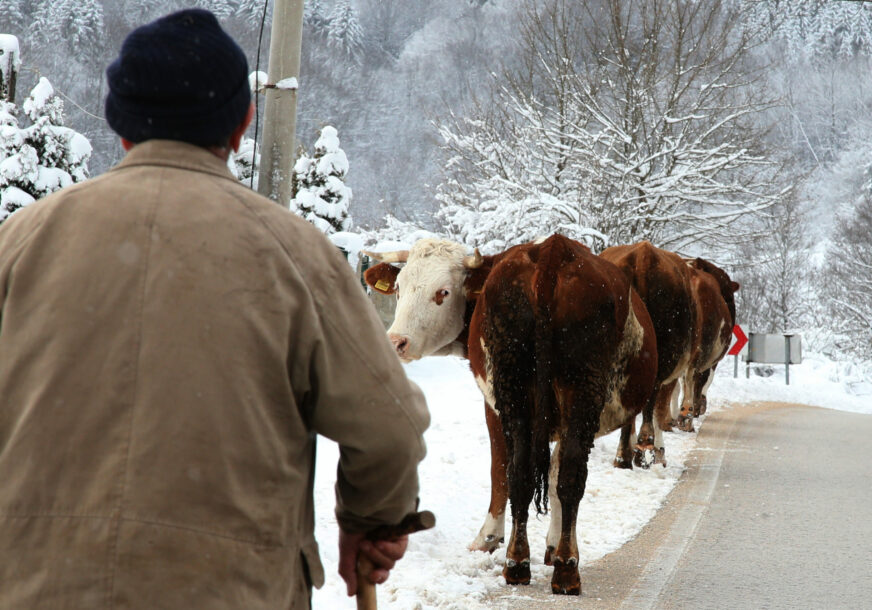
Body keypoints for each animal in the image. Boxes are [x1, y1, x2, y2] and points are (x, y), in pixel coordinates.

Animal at [362, 234, 656, 592]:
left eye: (442, 292)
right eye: (399, 288)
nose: (396, 342)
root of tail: (553, 252)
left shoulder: (493, 403)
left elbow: (512, 469)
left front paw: (493, 539)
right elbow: (542, 474)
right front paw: (548, 544)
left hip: (532, 391)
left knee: (530, 473)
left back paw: (537, 563)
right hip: (565, 390)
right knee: (551, 474)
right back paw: (546, 564)